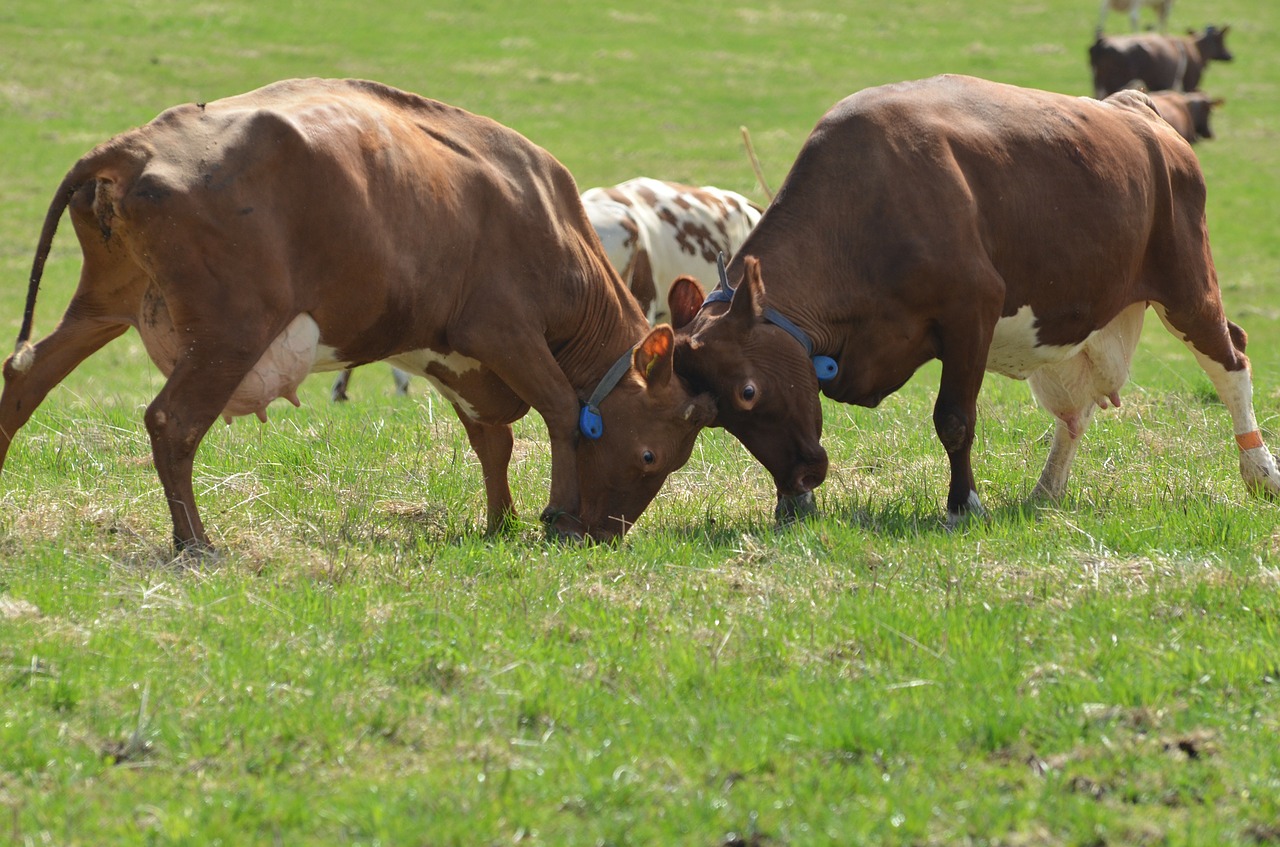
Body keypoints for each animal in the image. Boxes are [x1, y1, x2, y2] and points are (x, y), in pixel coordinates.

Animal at [2, 79, 721, 555]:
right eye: (652, 454)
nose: (607, 536)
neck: (546, 216)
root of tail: (134, 145)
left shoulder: (460, 358)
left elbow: (493, 441)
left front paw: (502, 522)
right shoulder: (503, 331)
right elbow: (564, 412)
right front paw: (558, 517)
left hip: (107, 303)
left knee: (26, 374)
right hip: (232, 329)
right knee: (171, 421)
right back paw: (196, 543)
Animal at [665, 74, 1280, 524]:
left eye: (746, 392)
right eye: (714, 417)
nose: (797, 478)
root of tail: (1138, 109)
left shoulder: (972, 311)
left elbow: (955, 419)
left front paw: (964, 505)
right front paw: (793, 506)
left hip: (1187, 281)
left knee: (1231, 360)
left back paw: (1260, 472)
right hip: (1081, 321)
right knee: (1076, 408)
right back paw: (1046, 491)